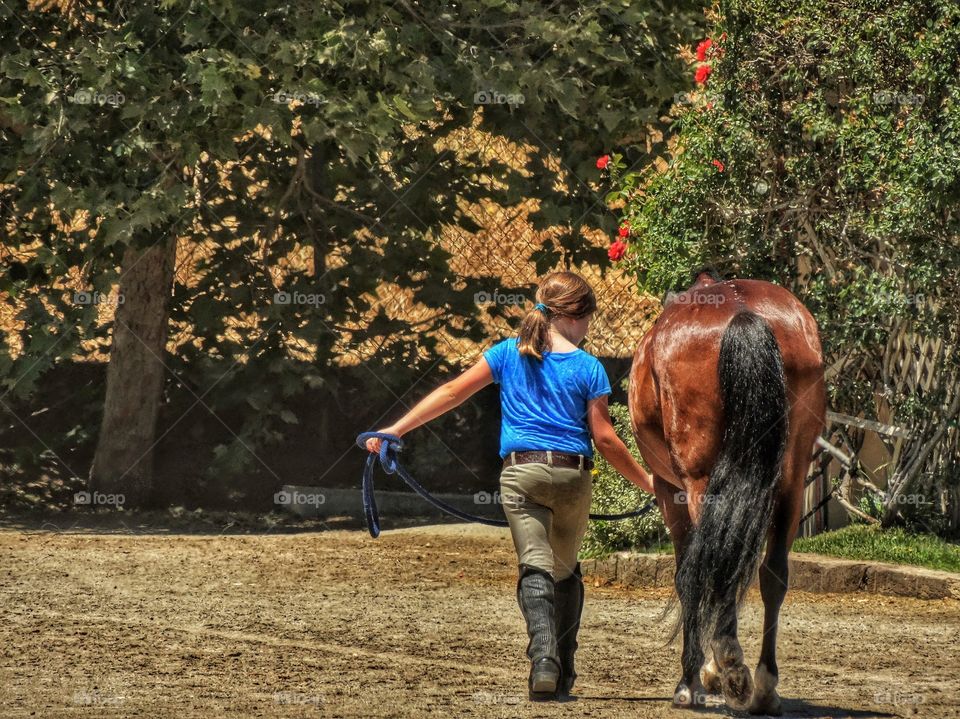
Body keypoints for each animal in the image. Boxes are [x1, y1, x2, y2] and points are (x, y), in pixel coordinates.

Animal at [632, 272, 824, 716]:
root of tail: (742, 311)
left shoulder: (670, 491)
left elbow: (687, 576)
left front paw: (695, 679)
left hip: (701, 483)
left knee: (712, 570)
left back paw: (730, 668)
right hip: (791, 479)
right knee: (772, 574)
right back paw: (764, 687)